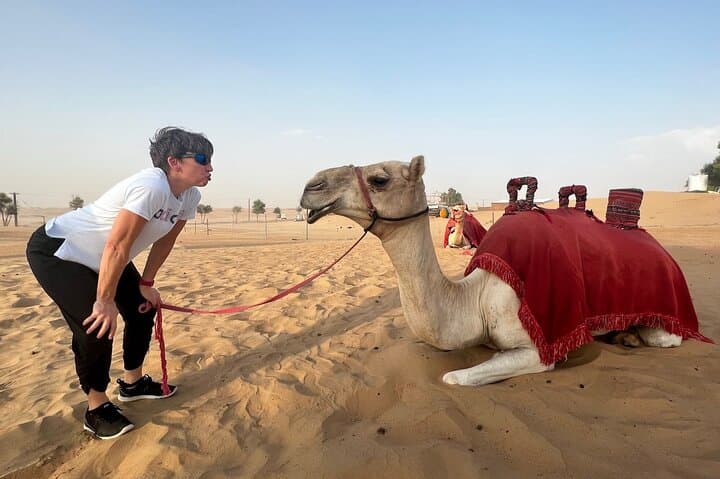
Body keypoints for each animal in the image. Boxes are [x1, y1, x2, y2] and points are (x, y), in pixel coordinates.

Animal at [300, 156, 708, 386]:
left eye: (380, 179)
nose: (310, 186)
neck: (477, 296)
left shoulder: (538, 347)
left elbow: (453, 378)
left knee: (667, 337)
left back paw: (631, 337)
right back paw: (620, 335)